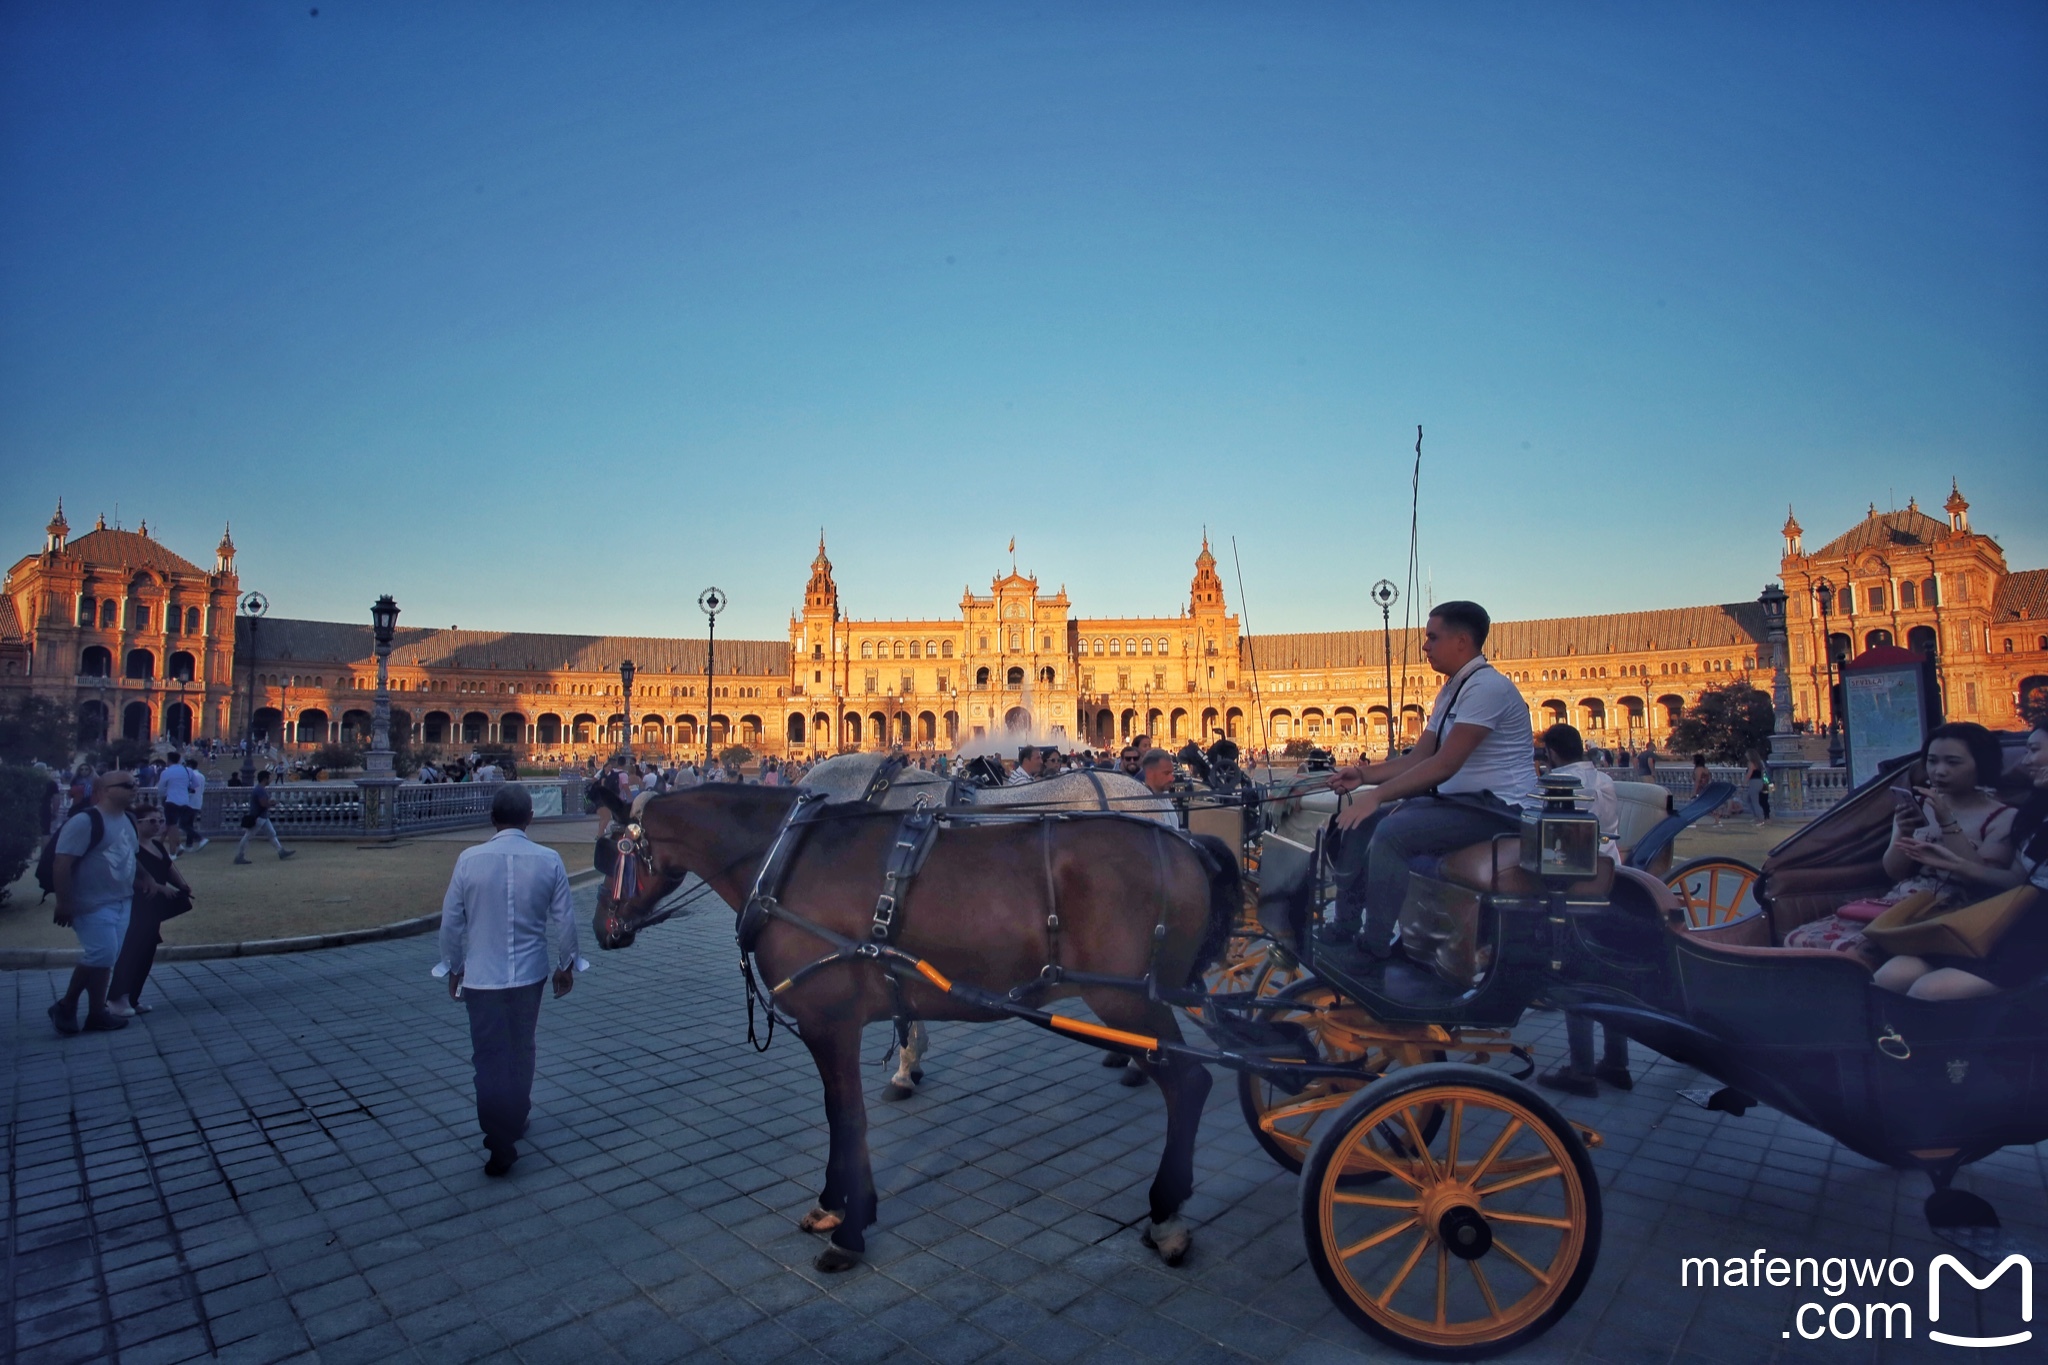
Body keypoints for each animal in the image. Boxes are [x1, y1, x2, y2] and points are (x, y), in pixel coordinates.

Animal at [585, 785, 1236, 1277]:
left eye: (609, 854)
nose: (600, 930)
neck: (785, 862)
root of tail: (1188, 842)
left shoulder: (830, 1020)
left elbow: (848, 1117)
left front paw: (848, 1232)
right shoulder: (835, 1025)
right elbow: (839, 1114)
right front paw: (835, 1205)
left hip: (1127, 1001)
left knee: (1191, 1083)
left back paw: (1166, 1217)